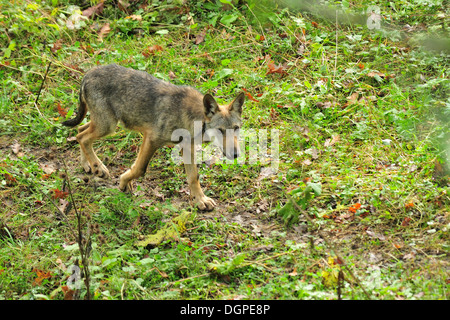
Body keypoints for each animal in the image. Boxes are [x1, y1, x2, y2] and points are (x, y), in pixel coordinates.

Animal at [62, 64, 244, 211]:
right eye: (220, 130)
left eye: (236, 129)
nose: (236, 155)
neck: (191, 117)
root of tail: (88, 73)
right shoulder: (151, 139)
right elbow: (139, 169)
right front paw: (123, 183)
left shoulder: (187, 147)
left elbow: (194, 177)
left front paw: (200, 200)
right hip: (108, 126)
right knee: (83, 136)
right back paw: (98, 167)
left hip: (104, 125)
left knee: (80, 132)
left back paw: (89, 166)